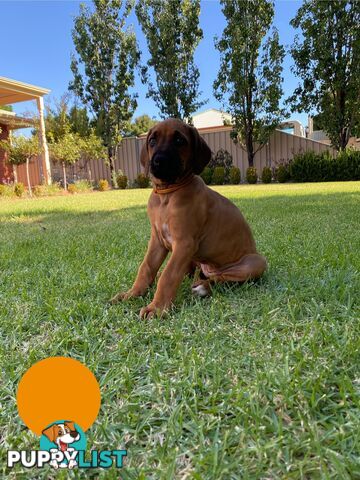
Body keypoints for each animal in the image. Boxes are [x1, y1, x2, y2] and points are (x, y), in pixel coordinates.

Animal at [110, 118, 268, 316]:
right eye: (152, 141)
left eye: (179, 141)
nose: (159, 161)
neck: (167, 195)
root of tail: (209, 270)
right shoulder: (157, 241)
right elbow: (146, 267)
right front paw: (132, 294)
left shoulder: (184, 243)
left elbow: (170, 275)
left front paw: (157, 308)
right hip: (194, 257)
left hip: (255, 263)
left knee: (222, 279)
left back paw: (203, 288)